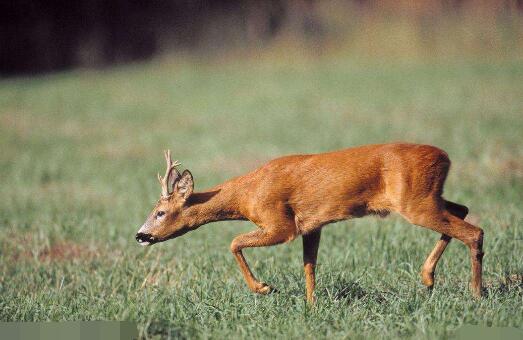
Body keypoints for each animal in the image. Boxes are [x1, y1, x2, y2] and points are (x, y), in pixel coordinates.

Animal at [137, 144, 486, 302]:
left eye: (160, 212)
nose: (140, 235)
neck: (246, 195)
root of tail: (446, 157)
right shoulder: (311, 225)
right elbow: (309, 266)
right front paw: (312, 306)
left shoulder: (280, 223)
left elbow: (234, 242)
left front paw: (264, 287)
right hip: (428, 198)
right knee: (463, 208)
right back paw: (428, 277)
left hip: (415, 202)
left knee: (475, 231)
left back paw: (476, 294)